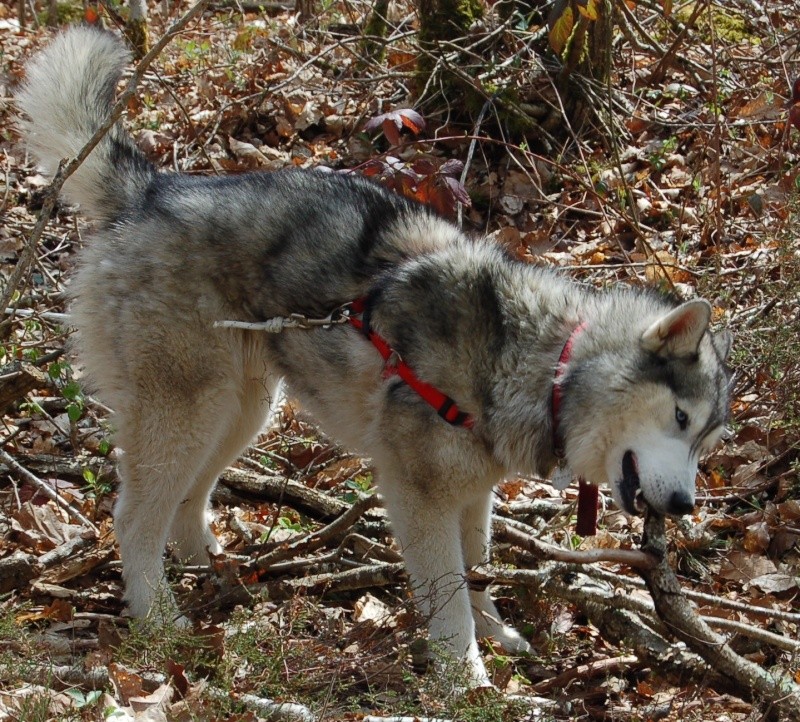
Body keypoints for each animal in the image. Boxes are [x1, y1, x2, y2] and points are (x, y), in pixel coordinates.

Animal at [17, 26, 732, 680]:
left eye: (706, 443)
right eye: (680, 420)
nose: (685, 507)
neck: (536, 359)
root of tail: (153, 191)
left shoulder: (474, 495)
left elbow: (478, 573)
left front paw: (498, 636)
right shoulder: (421, 497)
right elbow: (450, 600)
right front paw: (467, 680)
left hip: (240, 412)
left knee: (187, 501)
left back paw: (214, 570)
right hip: (189, 412)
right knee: (132, 518)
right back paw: (160, 617)